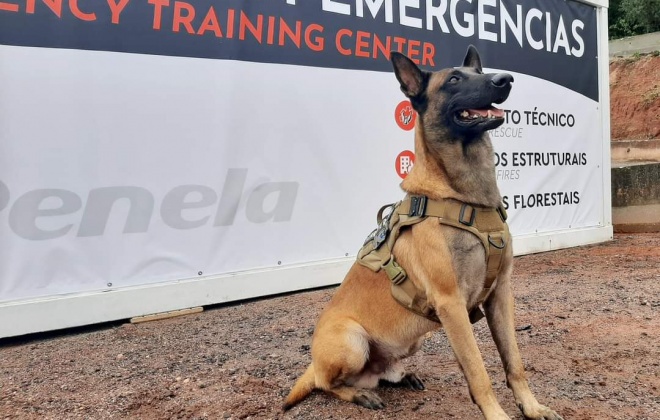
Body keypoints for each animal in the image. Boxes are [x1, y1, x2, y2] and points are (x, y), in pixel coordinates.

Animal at [282, 46, 564, 420]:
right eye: (454, 79)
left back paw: (401, 377)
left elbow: (513, 362)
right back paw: (360, 394)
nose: (505, 79)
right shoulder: (451, 304)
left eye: (480, 72)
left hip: (408, 342)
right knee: (327, 383)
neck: (466, 196)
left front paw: (531, 407)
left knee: (377, 374)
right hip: (351, 340)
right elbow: (478, 371)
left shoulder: (500, 294)